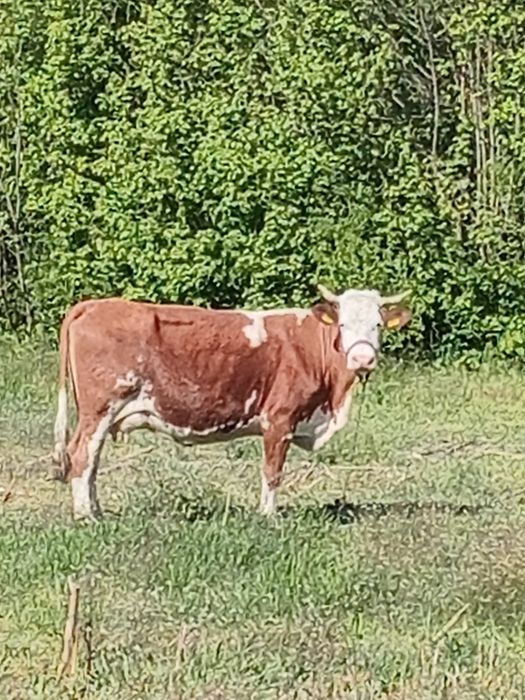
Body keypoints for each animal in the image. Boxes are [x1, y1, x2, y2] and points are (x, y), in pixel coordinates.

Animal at [51, 286, 411, 520]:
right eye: (343, 324)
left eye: (377, 325)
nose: (363, 359)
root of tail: (93, 305)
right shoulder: (279, 419)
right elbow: (272, 472)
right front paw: (268, 517)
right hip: (100, 408)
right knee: (82, 454)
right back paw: (86, 517)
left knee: (92, 459)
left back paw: (97, 511)